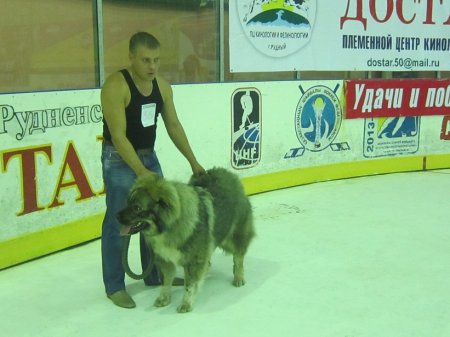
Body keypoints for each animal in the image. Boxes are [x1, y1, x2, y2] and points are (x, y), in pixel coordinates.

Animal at [118, 168, 255, 312]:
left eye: (137, 208)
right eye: (128, 202)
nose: (116, 216)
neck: (169, 226)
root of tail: (229, 174)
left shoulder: (192, 261)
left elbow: (189, 286)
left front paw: (186, 304)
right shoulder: (165, 259)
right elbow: (166, 282)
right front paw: (164, 298)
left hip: (232, 237)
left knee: (238, 257)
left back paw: (238, 277)